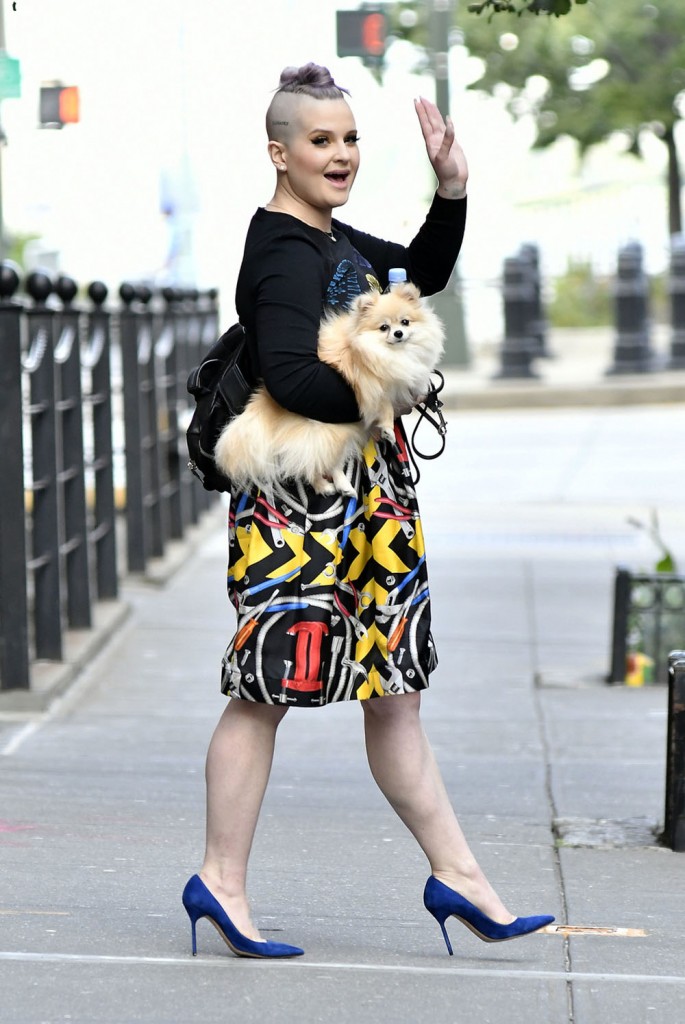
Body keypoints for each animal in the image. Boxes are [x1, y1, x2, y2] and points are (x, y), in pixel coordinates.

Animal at [216, 280, 446, 495]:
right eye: (384, 327)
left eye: (405, 322)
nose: (398, 333)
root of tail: (264, 400)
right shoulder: (374, 390)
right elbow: (386, 407)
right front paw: (388, 429)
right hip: (329, 432)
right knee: (313, 463)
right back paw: (329, 487)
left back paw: (340, 486)